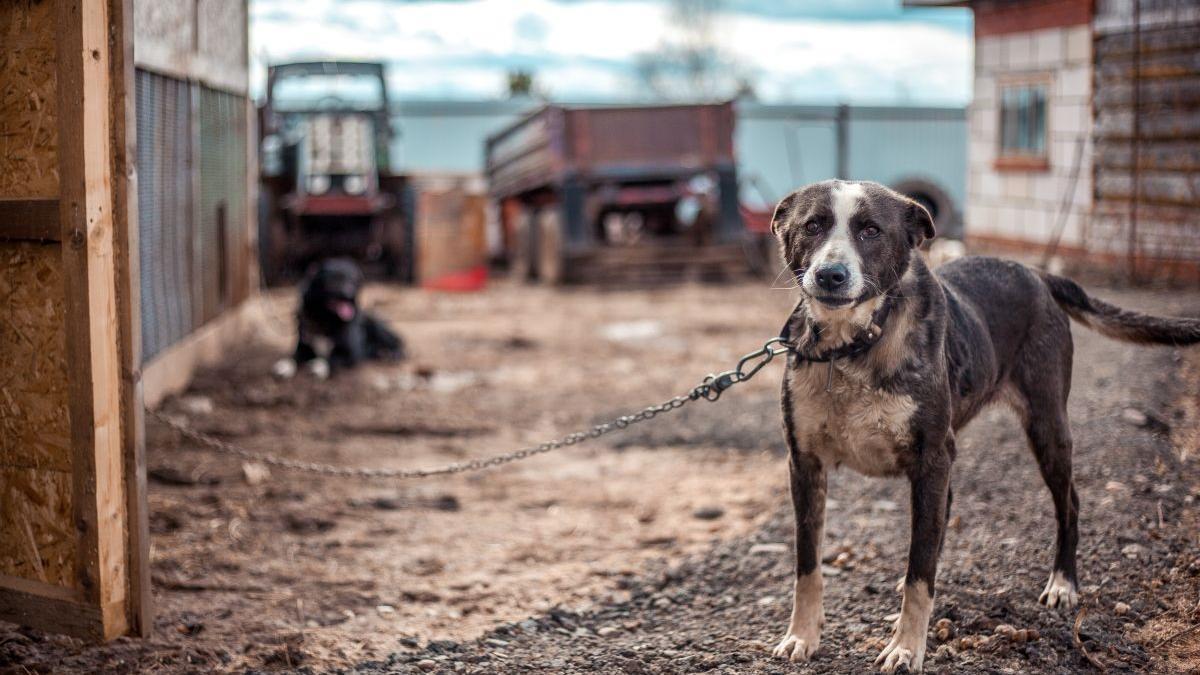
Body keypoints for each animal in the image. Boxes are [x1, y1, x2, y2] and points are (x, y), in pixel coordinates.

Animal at [271, 257, 403, 379]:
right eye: (333, 280)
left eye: (353, 280)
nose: (349, 294)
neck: (325, 318)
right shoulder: (304, 346)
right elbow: (294, 356)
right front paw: (286, 364)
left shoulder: (351, 353)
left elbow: (332, 358)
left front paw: (320, 366)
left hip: (377, 327)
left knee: (398, 341)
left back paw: (395, 354)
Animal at [768, 177, 1200, 667]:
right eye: (813, 225)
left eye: (871, 230)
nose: (830, 275)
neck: (852, 345)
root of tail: (1035, 273)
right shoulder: (805, 463)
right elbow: (807, 564)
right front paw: (802, 635)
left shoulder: (932, 458)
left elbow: (920, 573)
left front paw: (906, 646)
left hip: (1047, 426)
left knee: (1069, 502)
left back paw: (1063, 583)